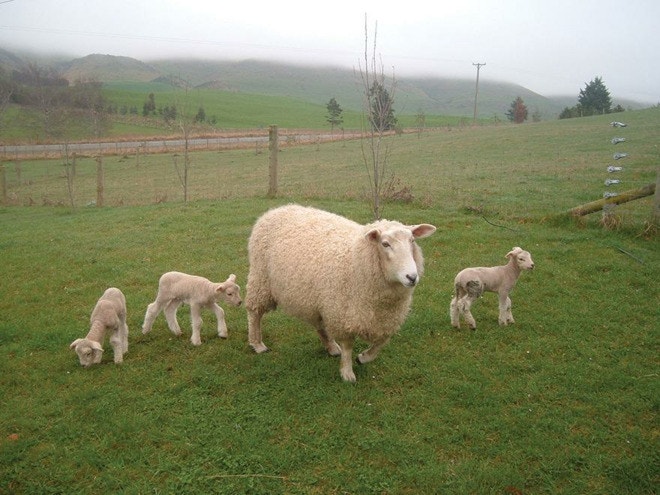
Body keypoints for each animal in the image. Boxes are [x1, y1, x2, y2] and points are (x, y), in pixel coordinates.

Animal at [245, 205, 436, 384]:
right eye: (385, 244)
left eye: (412, 240)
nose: (412, 277)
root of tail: (277, 209)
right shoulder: (343, 314)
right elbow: (348, 346)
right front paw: (347, 372)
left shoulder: (385, 318)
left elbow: (381, 343)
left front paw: (363, 358)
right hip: (261, 279)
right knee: (254, 312)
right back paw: (257, 343)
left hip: (318, 298)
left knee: (320, 323)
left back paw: (331, 347)